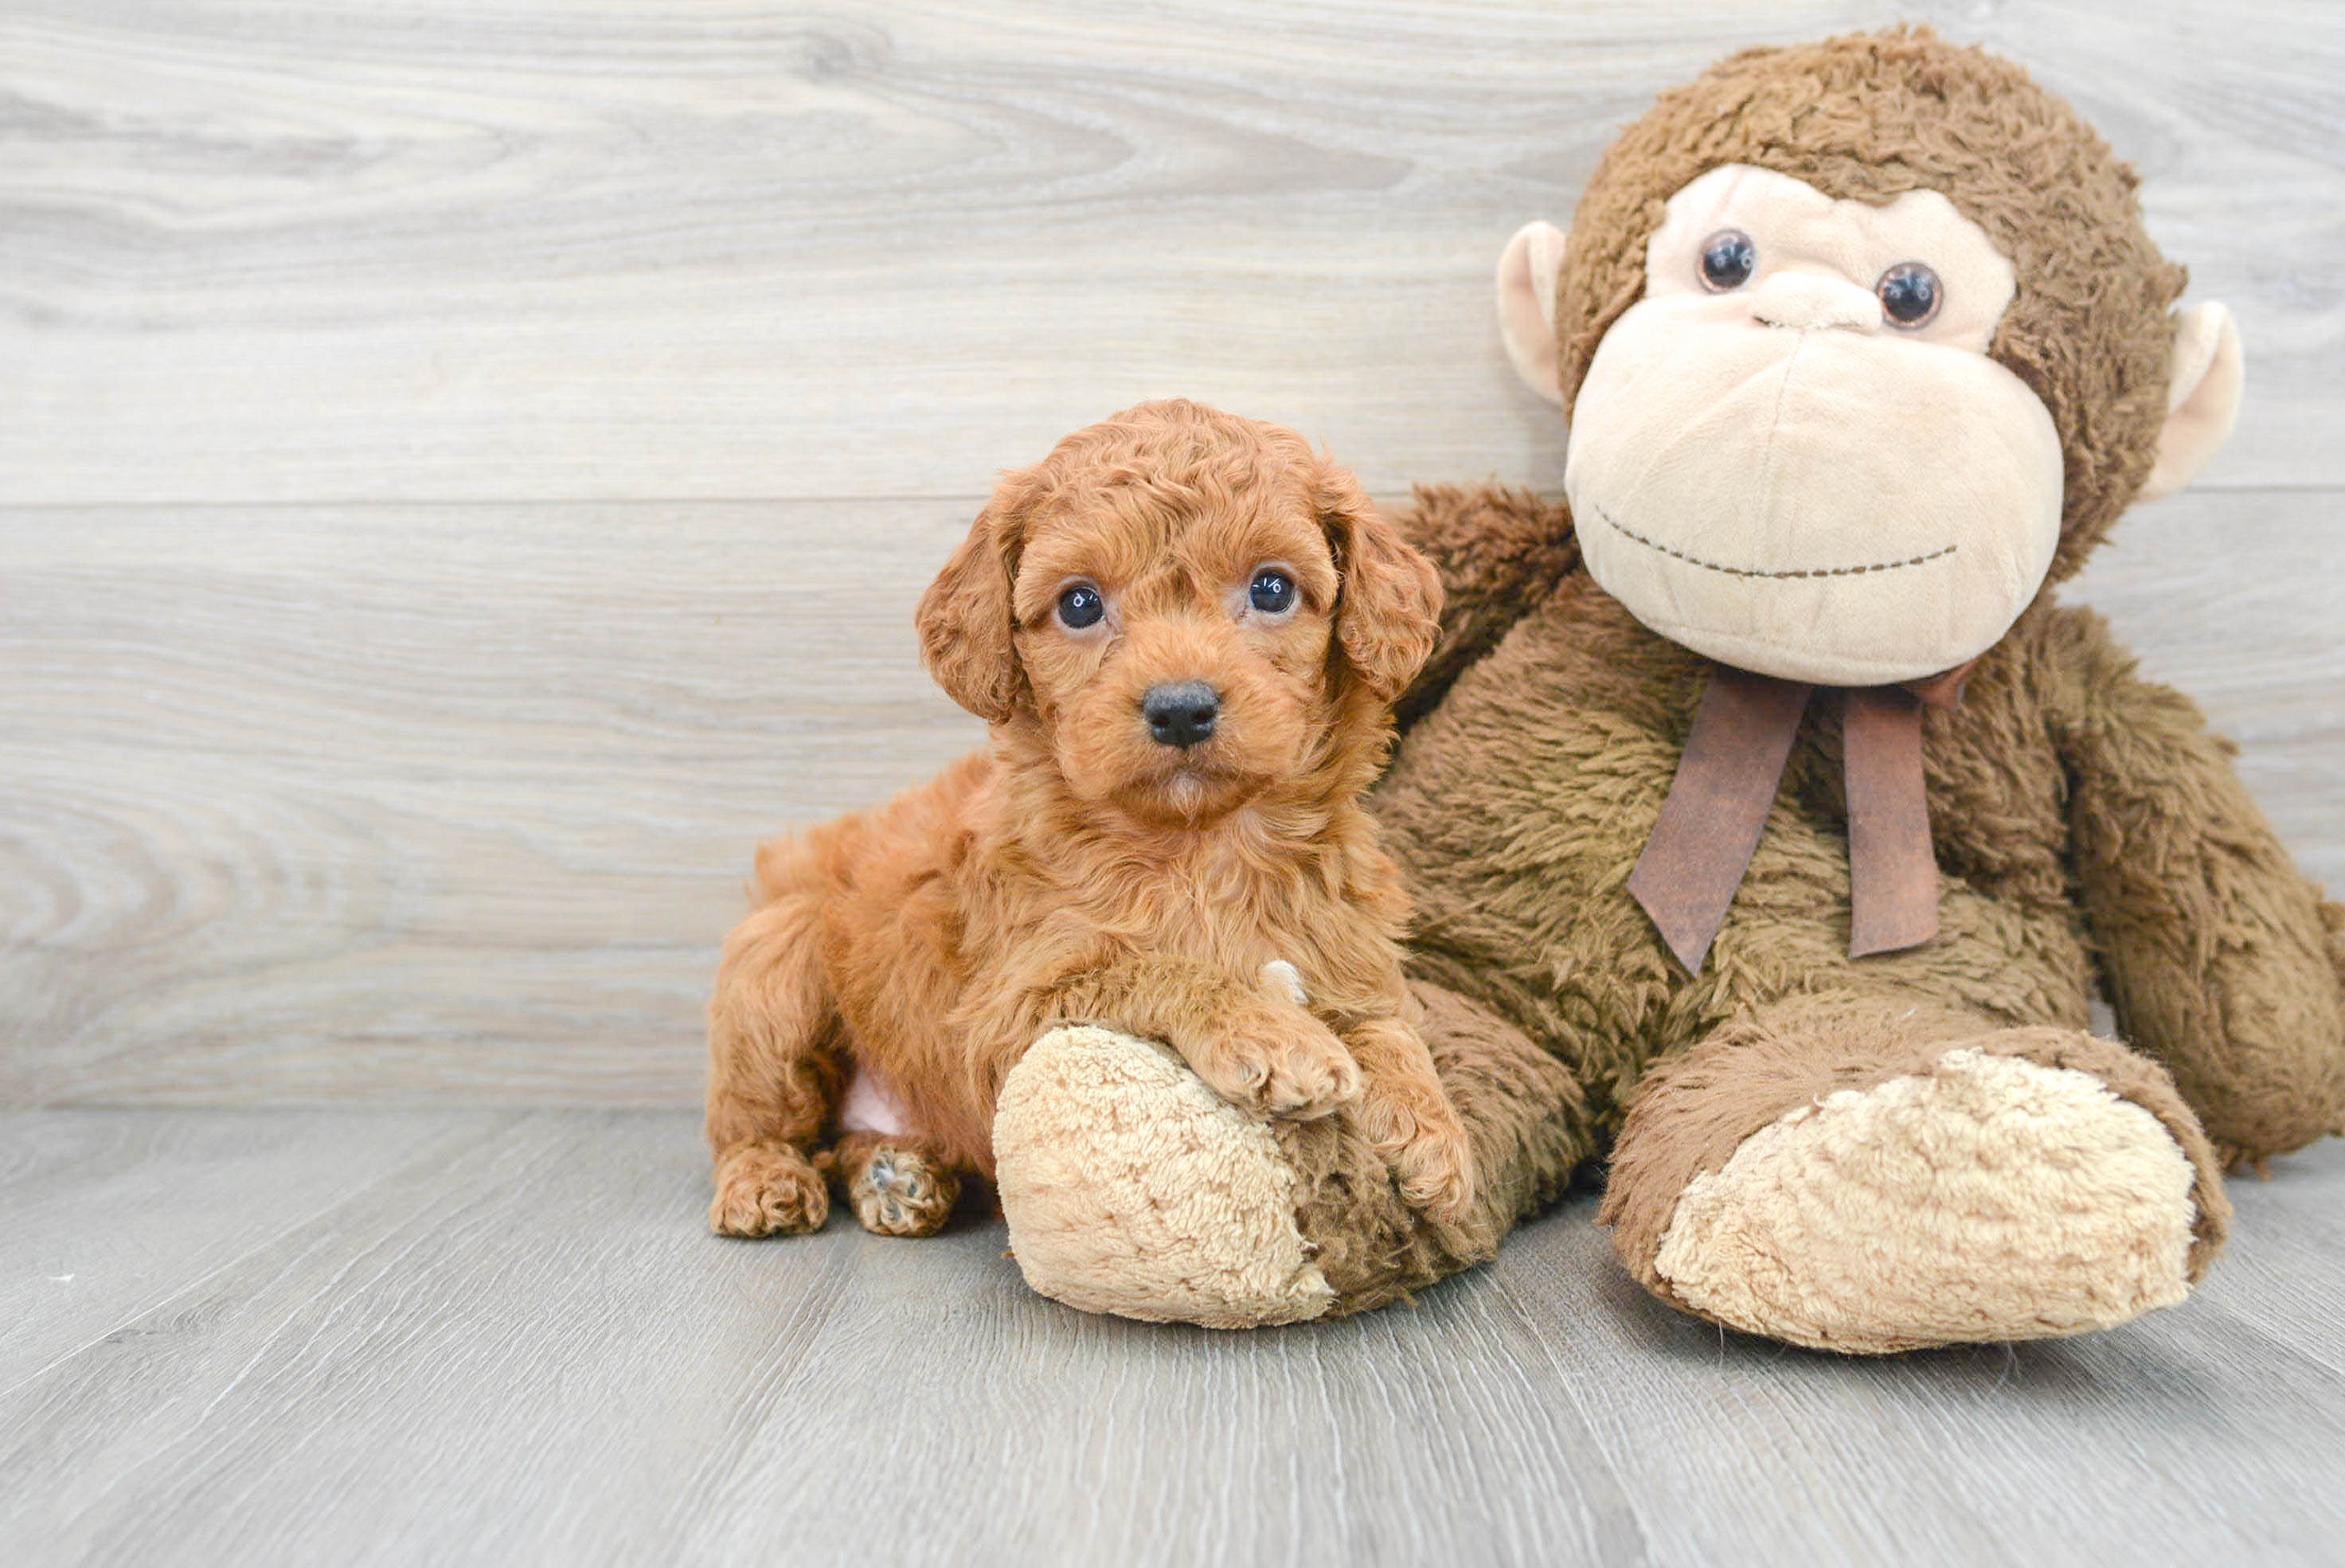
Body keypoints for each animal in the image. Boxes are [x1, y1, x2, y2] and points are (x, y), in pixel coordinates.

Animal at [698, 401, 1463, 1238]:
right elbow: (1149, 968)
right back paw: (766, 1180)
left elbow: (1390, 1024)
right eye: (1079, 603)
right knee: (753, 1120)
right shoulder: (1010, 1011)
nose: (1180, 708)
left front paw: (1431, 1128)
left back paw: (895, 1174)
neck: (1200, 847)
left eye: (1271, 589)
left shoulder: (1349, 945)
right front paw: (1269, 1031)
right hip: (777, 964)